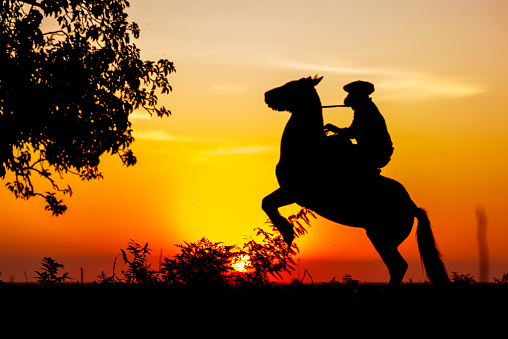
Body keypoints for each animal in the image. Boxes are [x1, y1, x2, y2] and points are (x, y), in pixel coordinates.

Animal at [262, 76, 448, 290]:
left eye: (291, 86)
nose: (267, 95)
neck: (307, 147)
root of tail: (412, 207)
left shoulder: (294, 192)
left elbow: (266, 203)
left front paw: (287, 232)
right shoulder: (288, 191)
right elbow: (267, 202)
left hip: (381, 237)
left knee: (398, 266)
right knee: (397, 267)